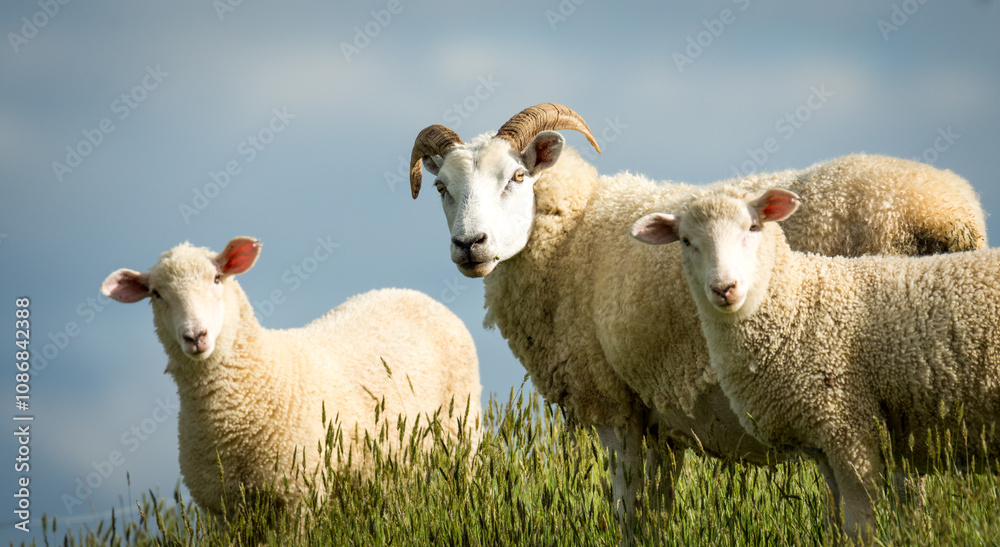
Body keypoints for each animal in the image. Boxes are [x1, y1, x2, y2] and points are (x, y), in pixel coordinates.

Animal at [100, 236, 482, 516]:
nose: (195, 336)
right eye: (156, 294)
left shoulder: (300, 496)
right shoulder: (220, 509)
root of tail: (408, 292)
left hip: (463, 436)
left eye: (217, 278)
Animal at [631, 187, 1000, 538]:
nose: (724, 288)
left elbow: (859, 526)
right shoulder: (823, 443)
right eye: (686, 240)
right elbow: (836, 520)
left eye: (753, 227)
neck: (799, 302)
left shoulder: (850, 430)